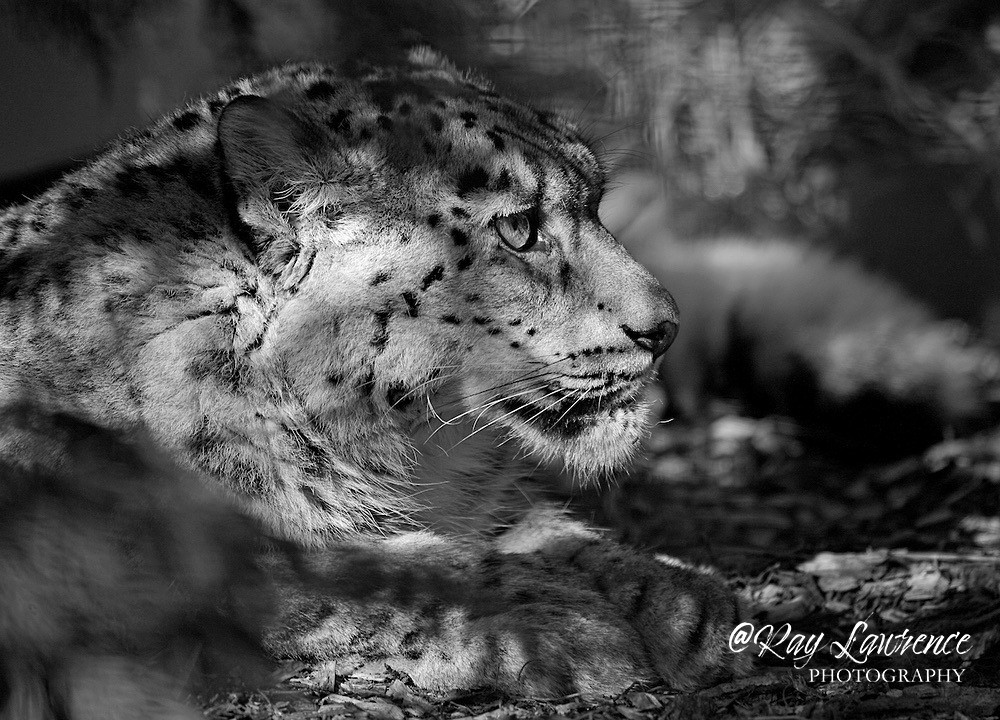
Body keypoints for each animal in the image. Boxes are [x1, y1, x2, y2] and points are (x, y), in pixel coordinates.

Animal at [0, 48, 747, 708]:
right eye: (519, 228)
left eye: (595, 201)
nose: (665, 327)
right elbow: (342, 574)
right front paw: (560, 625)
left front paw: (676, 599)